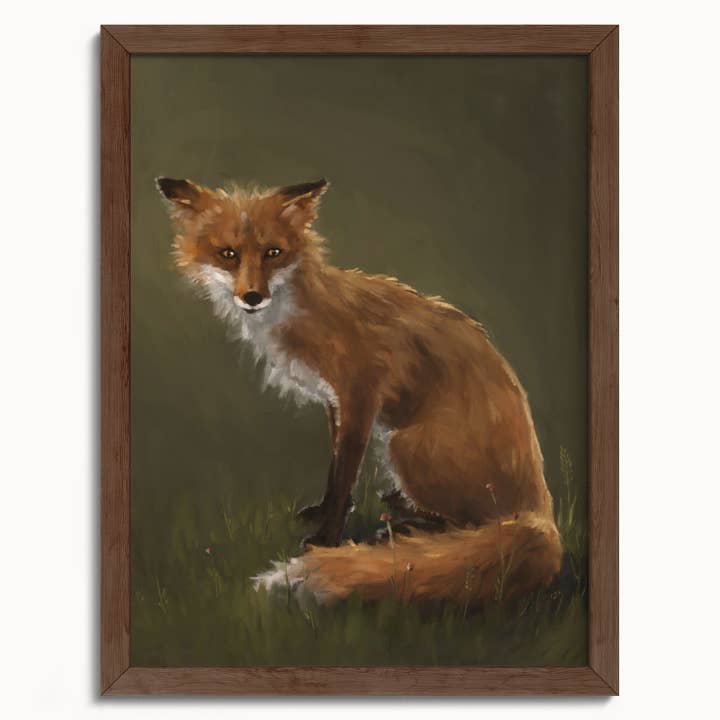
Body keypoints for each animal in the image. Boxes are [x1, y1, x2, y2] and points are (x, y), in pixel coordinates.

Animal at [156, 175, 562, 606]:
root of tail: (541, 509)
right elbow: (335, 470)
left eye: (273, 253)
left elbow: (343, 477)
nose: (252, 297)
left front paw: (325, 539)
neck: (303, 311)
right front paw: (322, 513)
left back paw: (408, 528)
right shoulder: (335, 401)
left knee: (478, 525)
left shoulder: (360, 396)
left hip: (404, 446)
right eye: (228, 254)